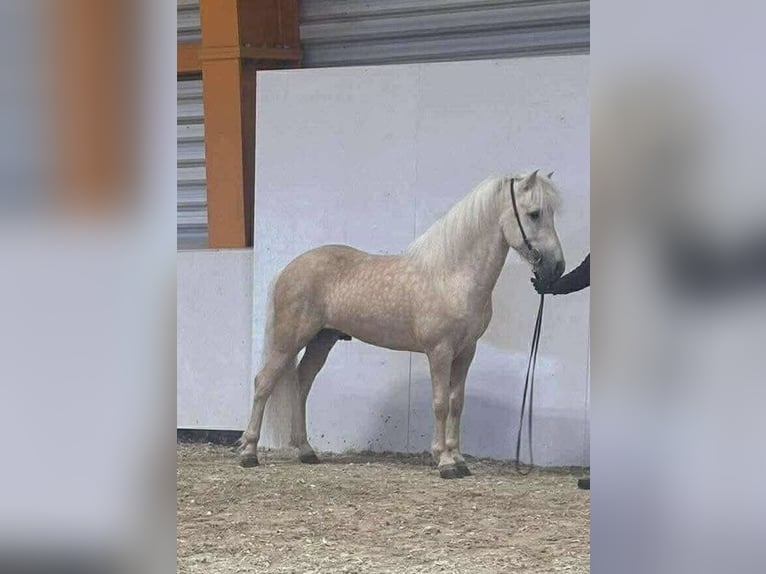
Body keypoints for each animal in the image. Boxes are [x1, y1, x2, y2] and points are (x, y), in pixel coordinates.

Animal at [239, 170, 565, 478]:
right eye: (534, 213)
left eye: (550, 213)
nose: (557, 267)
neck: (452, 274)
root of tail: (289, 269)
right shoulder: (440, 351)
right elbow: (440, 403)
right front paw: (444, 462)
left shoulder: (466, 351)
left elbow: (457, 403)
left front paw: (459, 459)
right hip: (289, 340)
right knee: (264, 383)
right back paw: (249, 452)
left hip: (322, 339)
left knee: (303, 382)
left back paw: (306, 451)